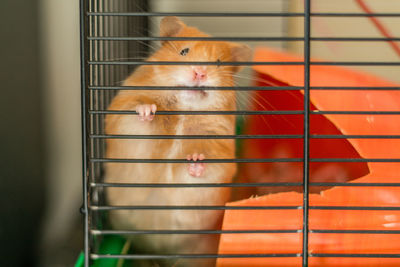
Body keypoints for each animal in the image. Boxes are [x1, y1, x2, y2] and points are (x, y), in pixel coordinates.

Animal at [104, 17, 252, 267]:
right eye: (184, 51)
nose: (200, 73)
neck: (183, 109)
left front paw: (195, 159)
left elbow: (203, 169)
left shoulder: (218, 155)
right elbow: (139, 119)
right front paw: (147, 110)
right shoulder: (126, 127)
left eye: (219, 62)